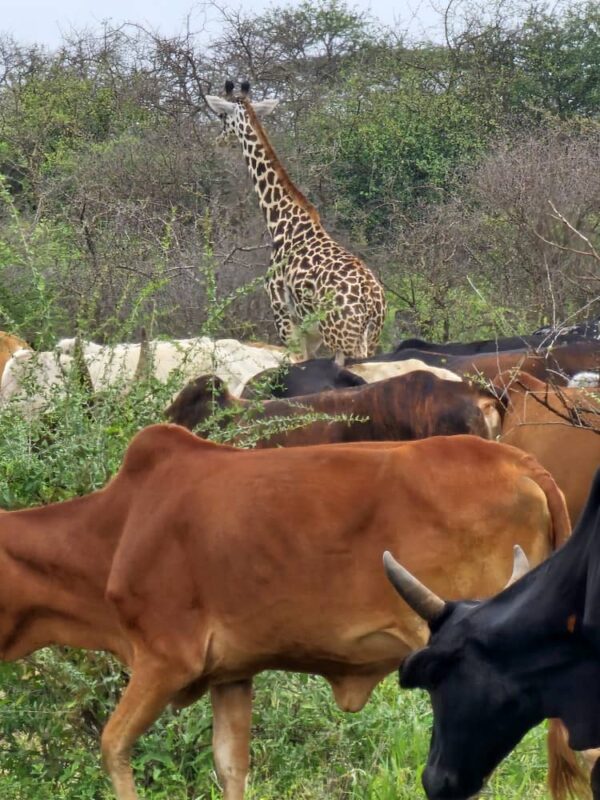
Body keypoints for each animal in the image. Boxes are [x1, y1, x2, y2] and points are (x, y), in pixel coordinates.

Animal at [205, 81, 387, 363]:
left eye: (222, 116)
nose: (219, 140)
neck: (282, 221)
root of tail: (371, 301)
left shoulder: (282, 314)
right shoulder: (309, 332)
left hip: (341, 339)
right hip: (369, 339)